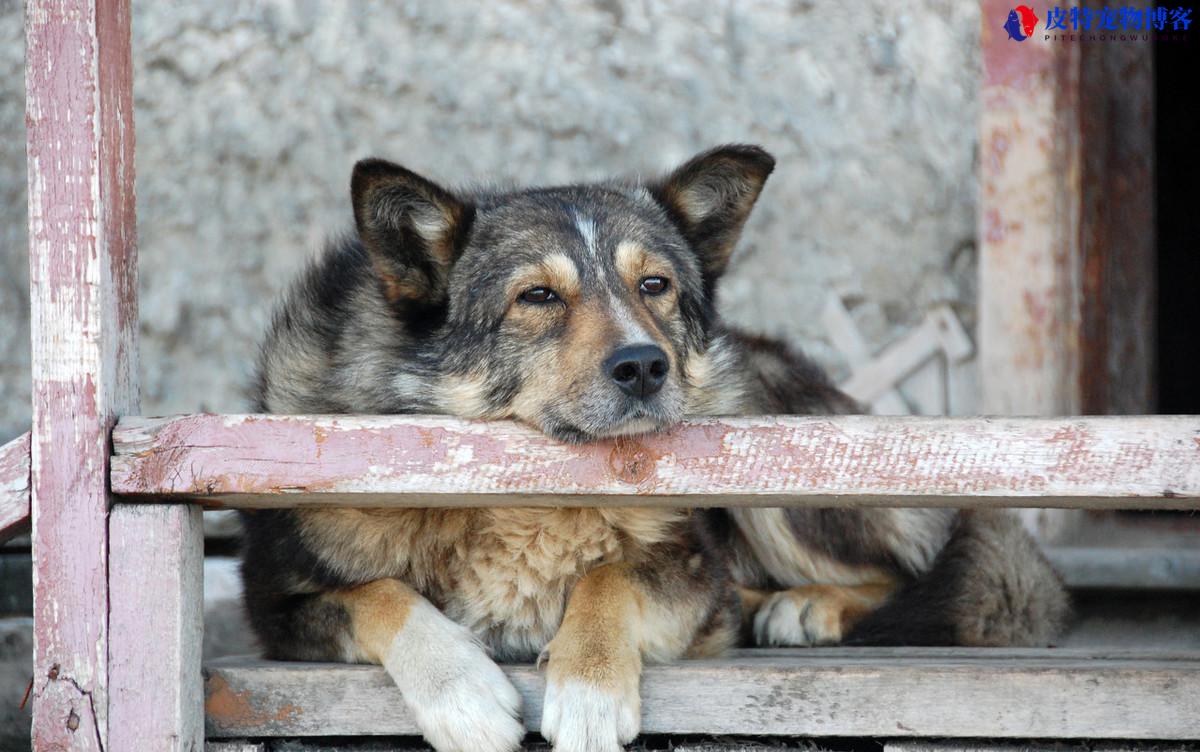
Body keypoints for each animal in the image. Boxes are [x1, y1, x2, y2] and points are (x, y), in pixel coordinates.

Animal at [241, 143, 1070, 748]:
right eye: (537, 297)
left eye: (655, 285)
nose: (644, 366)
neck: (522, 493)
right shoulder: (276, 605)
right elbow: (379, 594)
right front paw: (463, 694)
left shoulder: (694, 569)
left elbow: (611, 578)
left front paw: (588, 693)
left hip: (768, 448)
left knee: (912, 569)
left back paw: (806, 606)